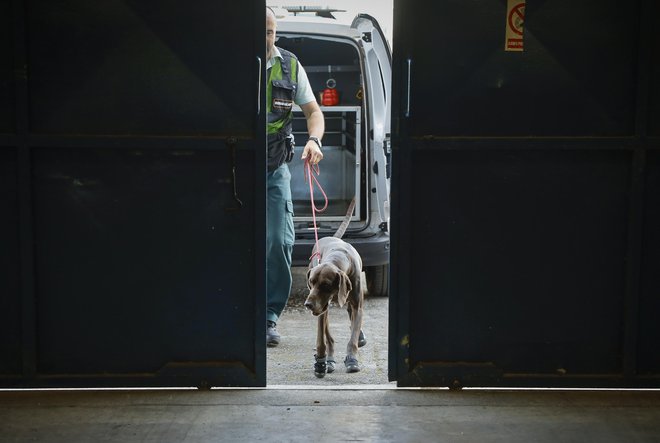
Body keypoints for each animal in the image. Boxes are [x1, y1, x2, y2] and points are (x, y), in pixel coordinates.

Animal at [306, 199, 366, 378]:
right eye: (311, 282)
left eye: (325, 285)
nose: (307, 305)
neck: (338, 256)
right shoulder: (321, 307)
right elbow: (322, 338)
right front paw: (321, 361)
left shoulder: (357, 305)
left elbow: (353, 337)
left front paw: (352, 359)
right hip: (323, 306)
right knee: (329, 335)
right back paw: (330, 360)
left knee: (350, 315)